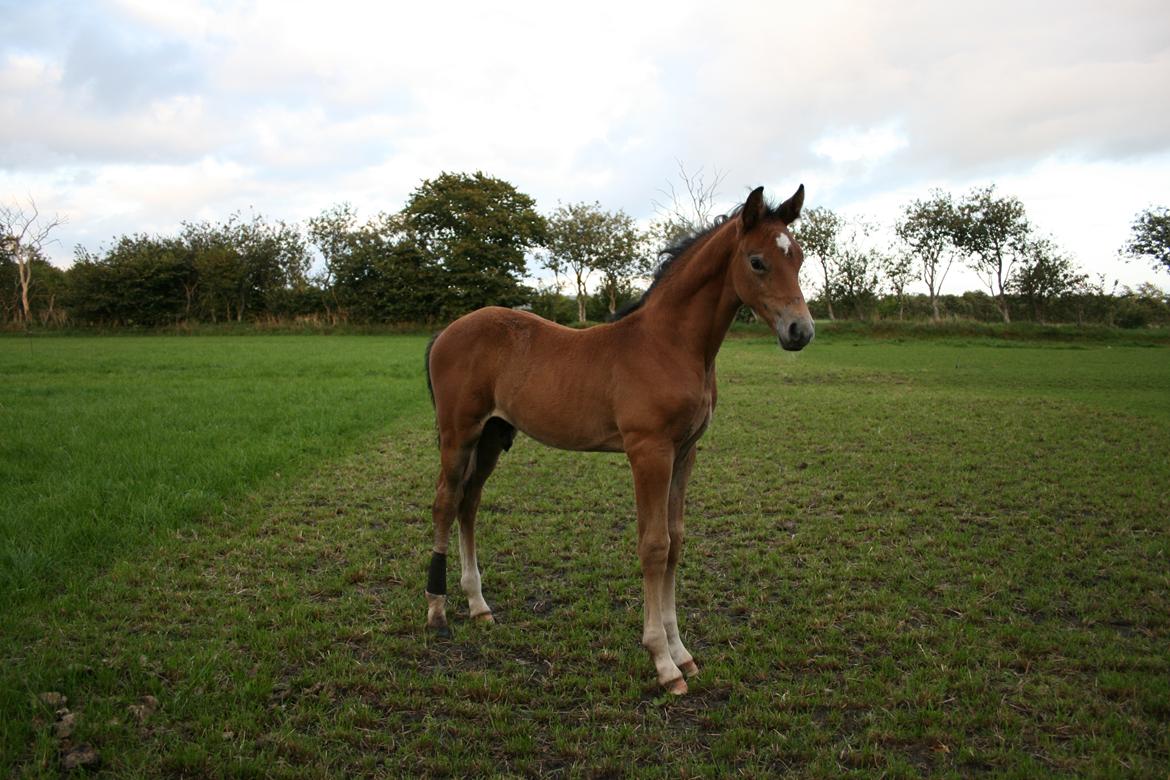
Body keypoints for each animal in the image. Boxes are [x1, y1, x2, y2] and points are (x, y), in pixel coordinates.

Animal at [423, 184, 814, 696]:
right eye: (757, 261)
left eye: (799, 257)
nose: (800, 331)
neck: (669, 344)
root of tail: (445, 332)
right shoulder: (649, 452)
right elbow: (654, 546)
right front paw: (663, 664)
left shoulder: (685, 453)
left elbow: (676, 541)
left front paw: (683, 654)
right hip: (459, 433)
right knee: (445, 503)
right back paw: (437, 612)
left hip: (492, 435)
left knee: (469, 504)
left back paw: (478, 606)